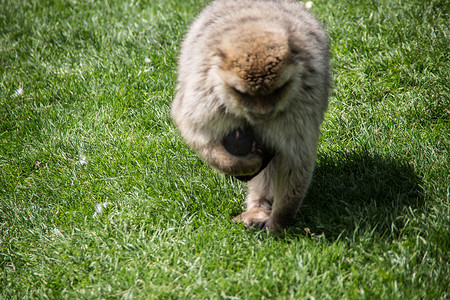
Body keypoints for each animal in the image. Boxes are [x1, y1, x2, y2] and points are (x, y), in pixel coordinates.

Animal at [171, 0, 330, 232]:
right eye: (244, 93)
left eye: (276, 90)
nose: (263, 111)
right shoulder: (206, 96)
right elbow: (195, 132)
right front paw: (243, 164)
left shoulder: (300, 103)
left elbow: (295, 159)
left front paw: (278, 222)